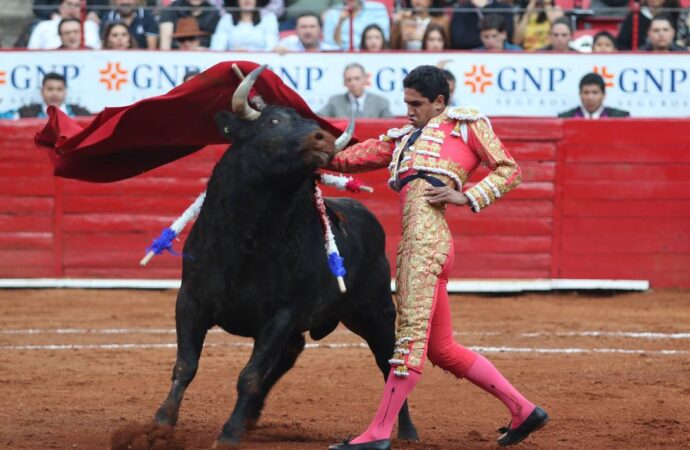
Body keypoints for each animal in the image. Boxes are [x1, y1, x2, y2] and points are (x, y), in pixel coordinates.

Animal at [153, 65, 416, 444]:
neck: (247, 237)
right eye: (273, 121)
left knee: (389, 364)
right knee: (292, 353)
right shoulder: (190, 300)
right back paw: (250, 417)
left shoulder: (281, 314)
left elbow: (250, 374)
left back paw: (406, 431)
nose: (322, 138)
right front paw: (162, 422)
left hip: (376, 311)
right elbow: (186, 364)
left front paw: (228, 434)